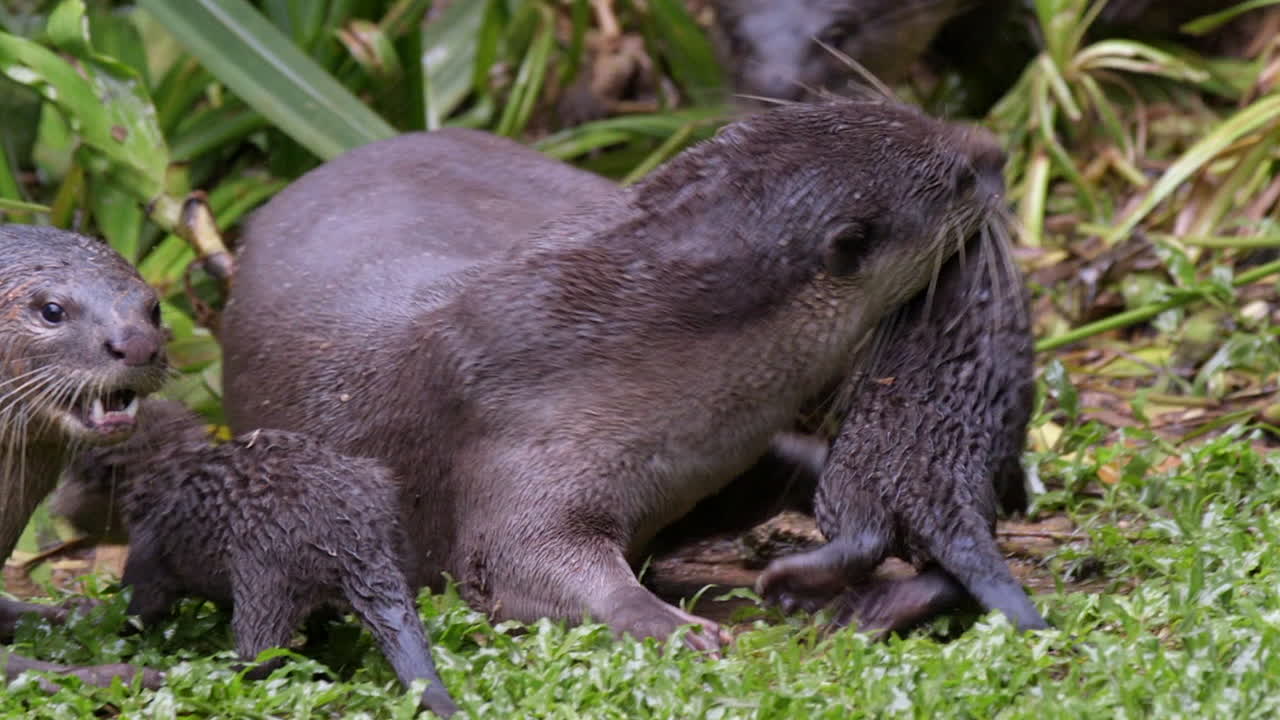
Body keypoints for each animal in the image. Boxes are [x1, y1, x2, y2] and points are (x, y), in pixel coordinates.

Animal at [58, 398, 459, 717]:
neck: (164, 471)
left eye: (75, 473)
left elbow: (140, 609)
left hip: (263, 574)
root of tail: (351, 535)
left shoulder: (149, 544)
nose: (60, 508)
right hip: (396, 533)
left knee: (259, 655)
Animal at [221, 101, 1010, 650]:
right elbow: (515, 563)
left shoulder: (713, 453)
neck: (614, 348)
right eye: (957, 176)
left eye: (922, 117)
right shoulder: (508, 433)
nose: (994, 146)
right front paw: (670, 625)